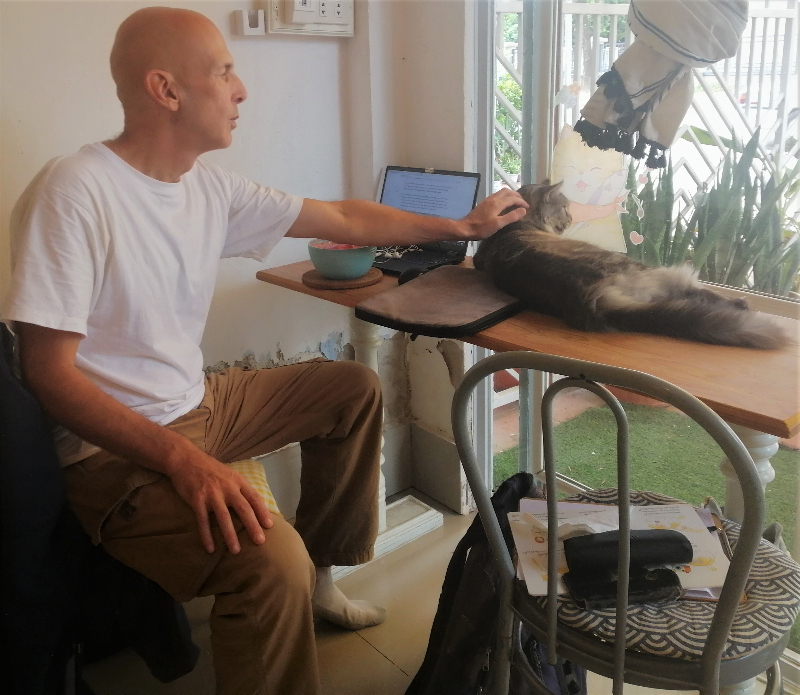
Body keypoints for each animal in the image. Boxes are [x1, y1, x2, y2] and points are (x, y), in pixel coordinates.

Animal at [472, 182, 792, 350]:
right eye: (564, 208)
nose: (571, 219)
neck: (514, 224)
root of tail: (591, 300)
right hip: (656, 272)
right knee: (699, 293)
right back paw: (741, 303)